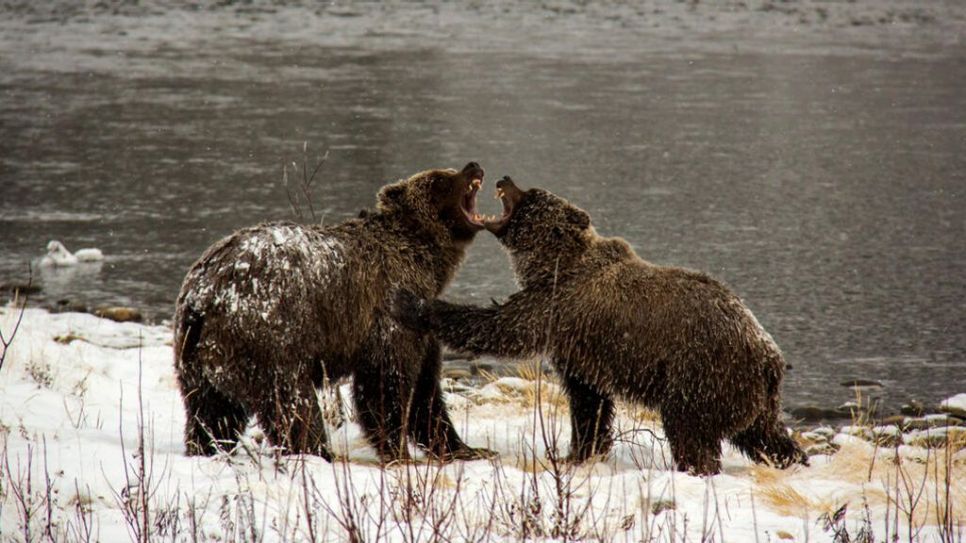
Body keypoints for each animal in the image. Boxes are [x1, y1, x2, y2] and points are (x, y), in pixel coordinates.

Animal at [171, 162, 500, 464]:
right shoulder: (389, 312)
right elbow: (386, 384)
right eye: (440, 180)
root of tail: (203, 293)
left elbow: (426, 392)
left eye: (448, 172)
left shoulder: (423, 325)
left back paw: (208, 449)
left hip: (196, 355)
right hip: (269, 335)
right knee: (292, 403)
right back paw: (319, 452)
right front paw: (399, 453)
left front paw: (467, 448)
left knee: (212, 412)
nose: (473, 167)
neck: (427, 262)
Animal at [394, 176, 808, 474]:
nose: (505, 178)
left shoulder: (556, 305)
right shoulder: (580, 346)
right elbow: (588, 402)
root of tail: (769, 357)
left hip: (702, 374)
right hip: (751, 397)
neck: (554, 264)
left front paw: (416, 303)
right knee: (765, 435)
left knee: (689, 428)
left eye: (530, 195)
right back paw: (794, 460)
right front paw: (580, 452)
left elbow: (502, 328)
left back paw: (694, 468)